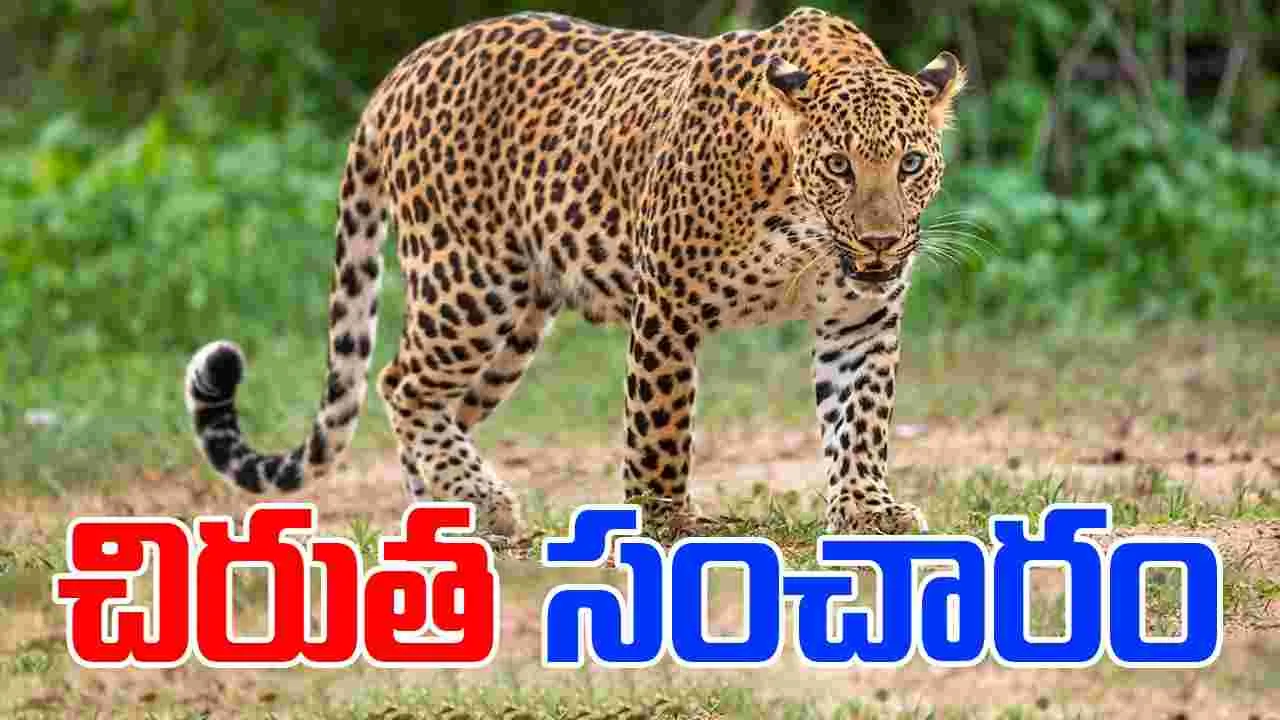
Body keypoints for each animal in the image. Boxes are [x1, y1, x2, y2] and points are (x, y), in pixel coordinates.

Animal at [183, 7, 966, 540]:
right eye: (838, 165)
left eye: (910, 164)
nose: (880, 242)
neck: (805, 227)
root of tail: (401, 72)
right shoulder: (668, 306)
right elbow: (660, 430)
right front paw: (667, 524)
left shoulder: (861, 318)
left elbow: (861, 420)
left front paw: (867, 510)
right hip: (468, 285)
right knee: (400, 383)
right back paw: (482, 502)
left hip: (516, 325)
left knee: (440, 408)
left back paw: (446, 516)